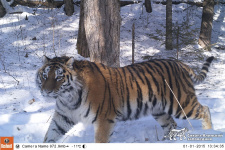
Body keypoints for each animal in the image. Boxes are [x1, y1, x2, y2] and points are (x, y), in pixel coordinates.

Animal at [36, 55, 214, 142]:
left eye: (59, 77)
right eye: (45, 76)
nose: (46, 91)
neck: (68, 98)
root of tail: (181, 64)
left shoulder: (104, 119)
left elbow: (100, 141)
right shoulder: (63, 117)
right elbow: (49, 136)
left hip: (181, 103)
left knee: (205, 109)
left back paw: (209, 132)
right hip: (159, 110)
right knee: (171, 125)